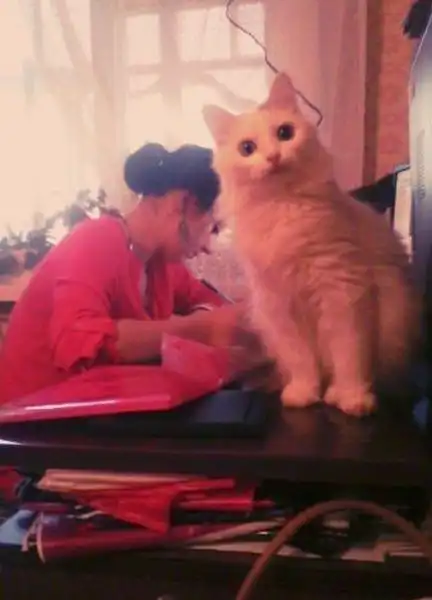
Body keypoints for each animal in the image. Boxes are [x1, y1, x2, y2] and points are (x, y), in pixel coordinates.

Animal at [202, 73, 420, 417]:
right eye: (247, 148)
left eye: (285, 133)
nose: (273, 157)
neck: (284, 211)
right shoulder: (280, 307)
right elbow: (302, 361)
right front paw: (304, 394)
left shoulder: (342, 292)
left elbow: (348, 355)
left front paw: (353, 398)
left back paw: (335, 393)